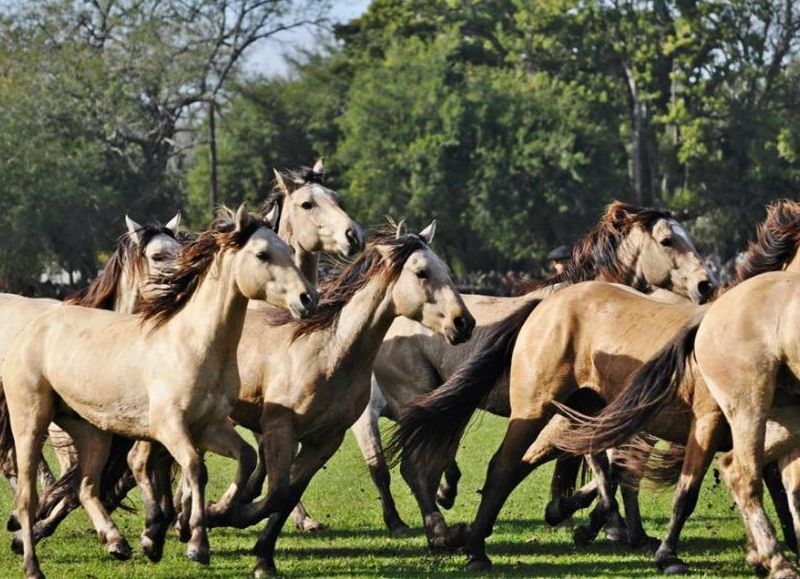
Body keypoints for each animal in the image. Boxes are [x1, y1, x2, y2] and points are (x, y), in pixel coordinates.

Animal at [0, 206, 318, 576]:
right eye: (262, 254)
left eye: (289, 250)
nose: (309, 298)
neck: (193, 344)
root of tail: (32, 328)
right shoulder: (169, 428)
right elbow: (194, 468)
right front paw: (196, 544)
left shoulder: (209, 427)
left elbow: (246, 456)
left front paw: (213, 514)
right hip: (31, 424)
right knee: (27, 496)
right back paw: (32, 564)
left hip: (92, 431)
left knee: (85, 486)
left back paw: (115, 542)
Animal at [384, 202, 796, 572]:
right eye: (667, 240)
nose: (704, 284)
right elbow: (616, 471)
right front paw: (614, 527)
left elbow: (607, 469)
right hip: (472, 401)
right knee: (438, 465)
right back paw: (452, 536)